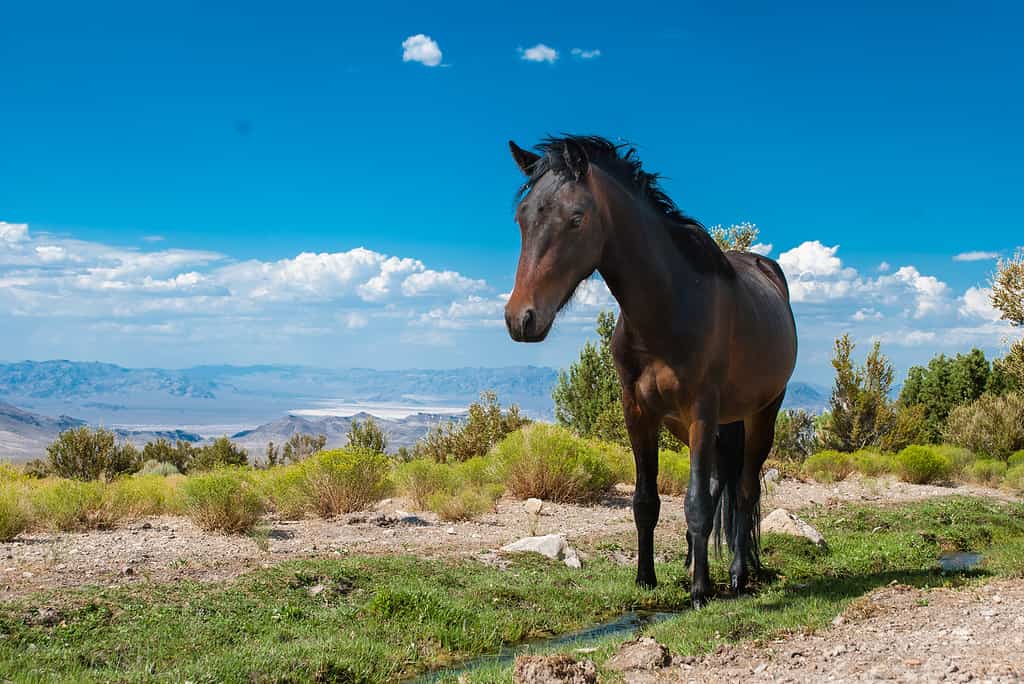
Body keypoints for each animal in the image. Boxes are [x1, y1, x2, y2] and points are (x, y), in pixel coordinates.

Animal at [503, 135, 797, 607]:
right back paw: (697, 562)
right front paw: (646, 577)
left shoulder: (701, 410)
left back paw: (736, 575)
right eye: (522, 218)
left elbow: (696, 503)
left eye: (577, 218)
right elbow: (645, 501)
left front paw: (699, 593)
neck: (670, 307)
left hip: (761, 413)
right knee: (722, 484)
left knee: (744, 491)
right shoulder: (638, 412)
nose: (521, 319)